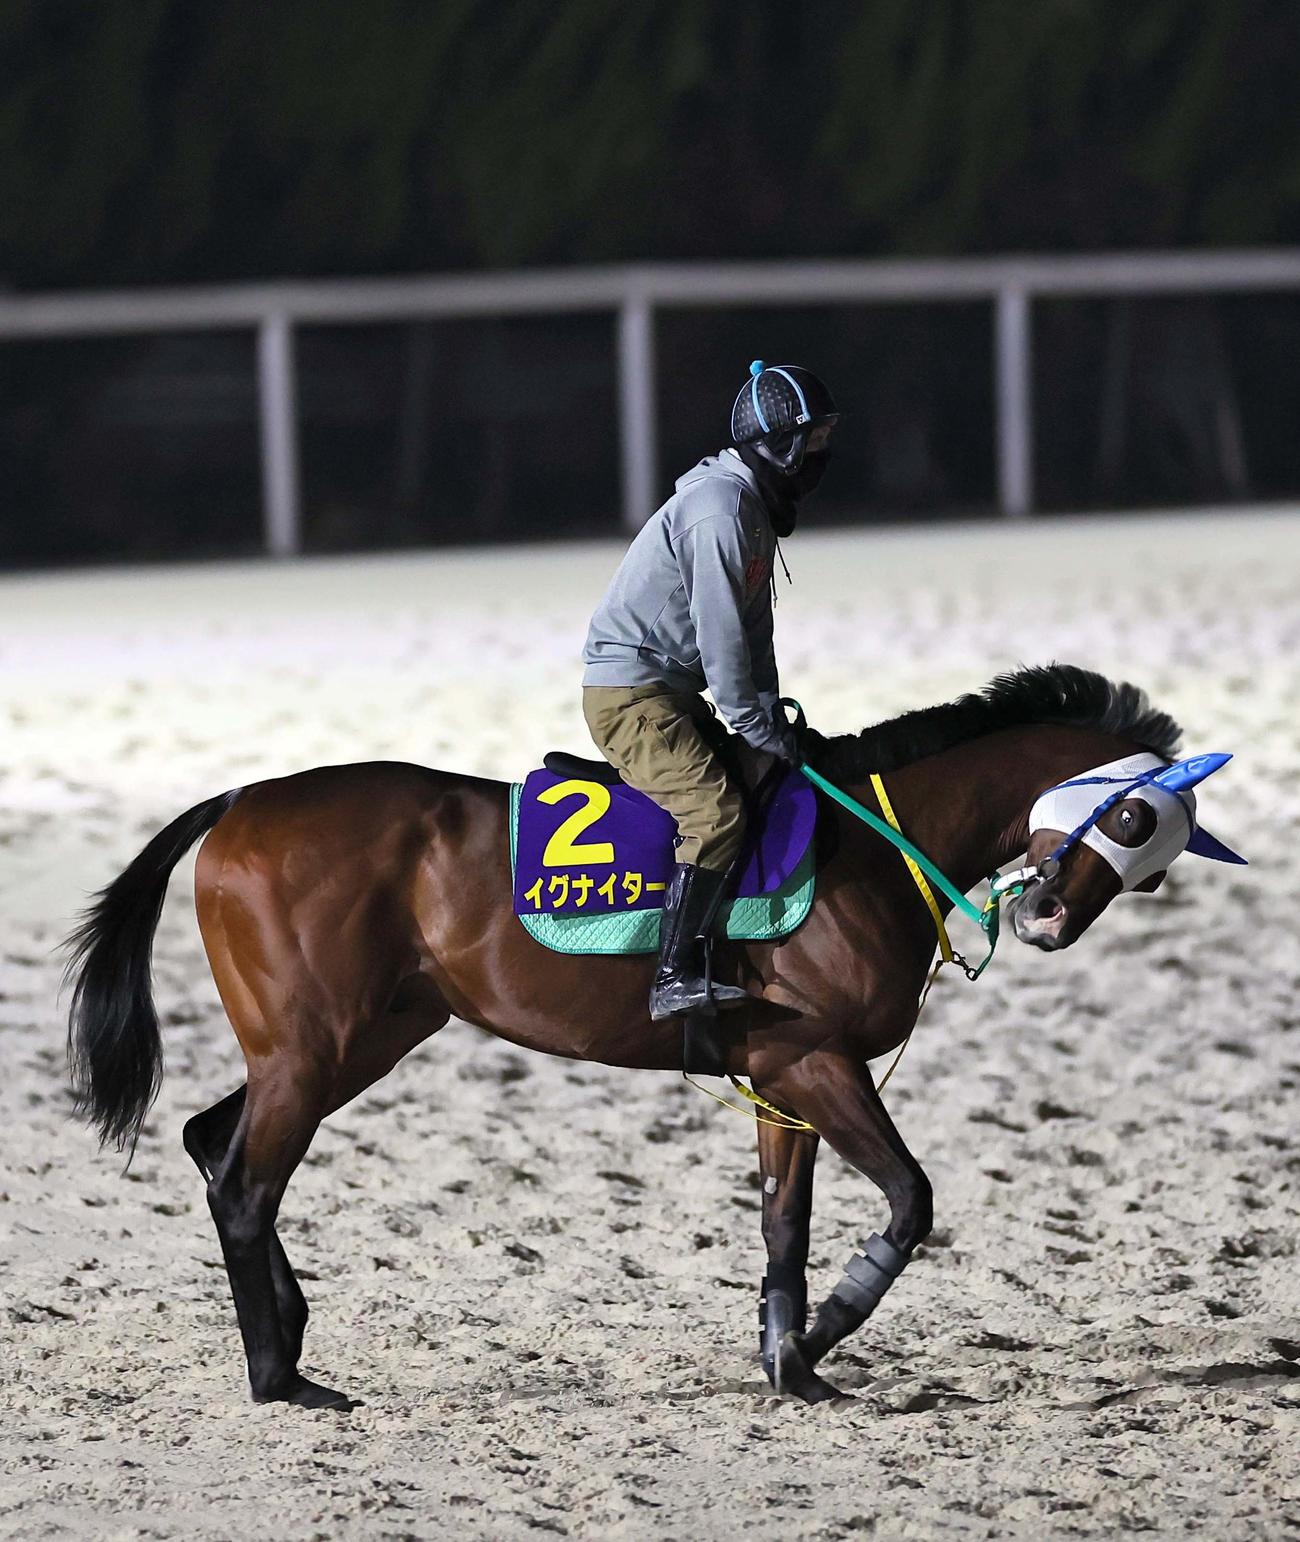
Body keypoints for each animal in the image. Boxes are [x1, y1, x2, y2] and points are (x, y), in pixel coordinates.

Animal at [65, 664, 1240, 1408]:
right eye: (1131, 818)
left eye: (1154, 864)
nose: (1046, 919)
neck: (872, 841)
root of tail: (240, 800)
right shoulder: (815, 1062)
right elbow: (910, 1200)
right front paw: (824, 1331)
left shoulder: (783, 1072)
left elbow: (781, 1224)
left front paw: (792, 1362)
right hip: (313, 1052)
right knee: (243, 1185)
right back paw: (278, 1379)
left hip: (352, 1042)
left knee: (213, 1144)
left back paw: (293, 1337)